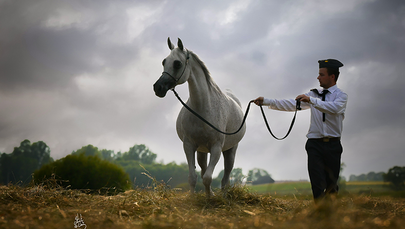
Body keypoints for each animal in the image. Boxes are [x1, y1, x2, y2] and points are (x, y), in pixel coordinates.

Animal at [153, 38, 245, 196]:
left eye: (177, 63)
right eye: (164, 61)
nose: (158, 87)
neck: (203, 109)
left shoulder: (216, 148)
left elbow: (208, 177)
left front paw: (210, 197)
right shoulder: (189, 145)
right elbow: (193, 177)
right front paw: (194, 197)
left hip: (230, 150)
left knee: (225, 177)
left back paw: (223, 195)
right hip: (202, 151)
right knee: (203, 170)